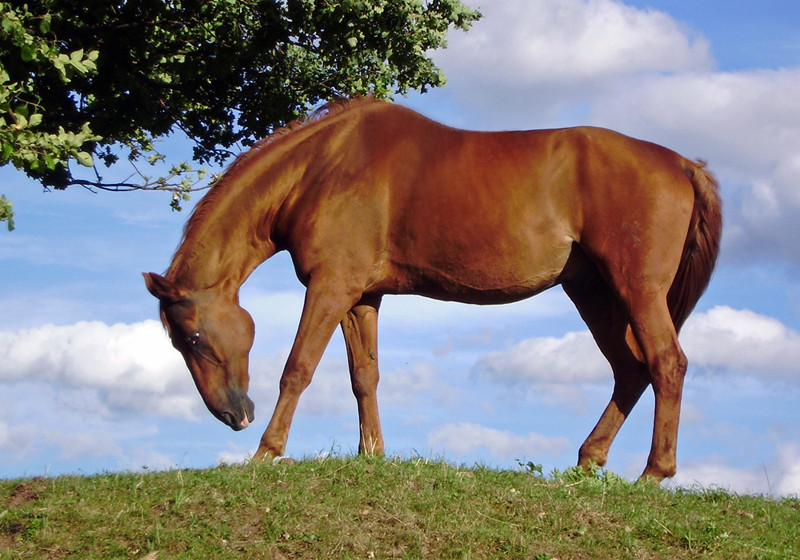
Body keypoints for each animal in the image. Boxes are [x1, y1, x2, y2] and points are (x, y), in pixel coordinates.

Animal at [141, 97, 720, 482]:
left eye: (192, 339)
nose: (234, 416)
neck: (321, 167)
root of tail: (684, 165)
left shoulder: (329, 288)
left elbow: (298, 368)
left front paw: (265, 453)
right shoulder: (360, 297)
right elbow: (364, 377)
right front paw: (372, 454)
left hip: (636, 290)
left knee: (666, 364)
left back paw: (653, 474)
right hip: (594, 294)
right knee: (631, 370)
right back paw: (586, 464)